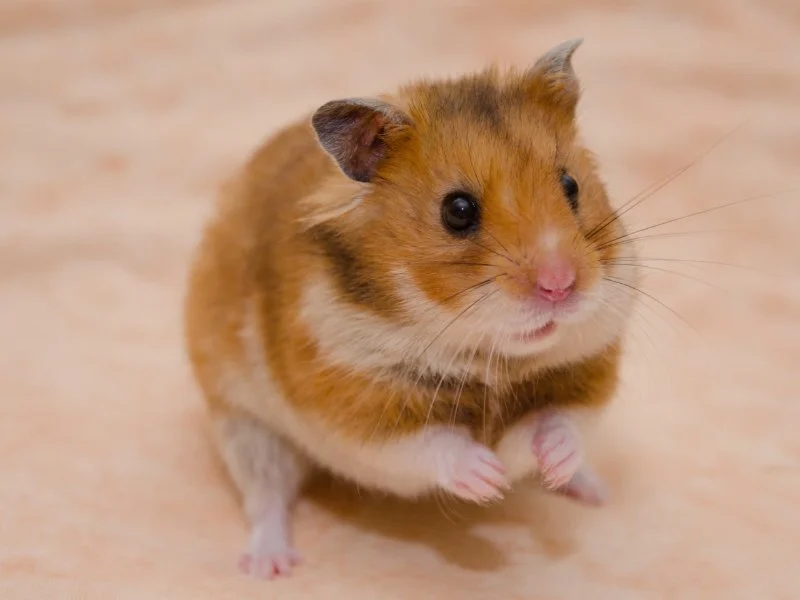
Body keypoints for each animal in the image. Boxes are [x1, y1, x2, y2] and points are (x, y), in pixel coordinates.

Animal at [183, 38, 638, 580]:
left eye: (571, 186)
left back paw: (593, 490)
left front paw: (547, 462)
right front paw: (489, 479)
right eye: (457, 211)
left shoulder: (588, 371)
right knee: (266, 497)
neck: (490, 358)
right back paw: (268, 567)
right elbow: (433, 443)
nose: (560, 286)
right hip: (245, 425)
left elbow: (559, 421)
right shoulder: (354, 406)